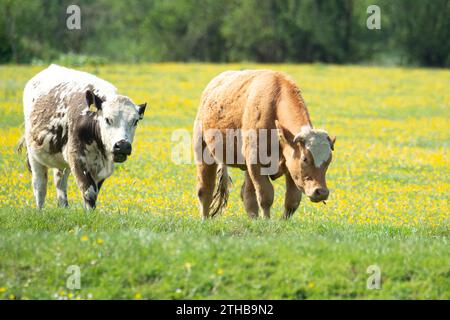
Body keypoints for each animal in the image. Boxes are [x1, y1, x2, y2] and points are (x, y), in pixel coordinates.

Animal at [22, 65, 146, 210]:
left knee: (60, 183)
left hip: (61, 162)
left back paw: (64, 207)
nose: (122, 145)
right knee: (40, 186)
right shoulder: (77, 158)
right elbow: (89, 192)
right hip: (34, 156)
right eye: (107, 119)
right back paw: (40, 210)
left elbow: (94, 192)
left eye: (135, 121)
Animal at [193, 70, 334, 220]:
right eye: (305, 158)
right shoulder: (256, 161)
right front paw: (266, 220)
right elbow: (266, 195)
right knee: (205, 190)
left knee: (247, 193)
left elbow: (292, 200)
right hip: (203, 152)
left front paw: (283, 222)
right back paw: (205, 219)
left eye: (329, 161)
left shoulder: (290, 167)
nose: (321, 192)